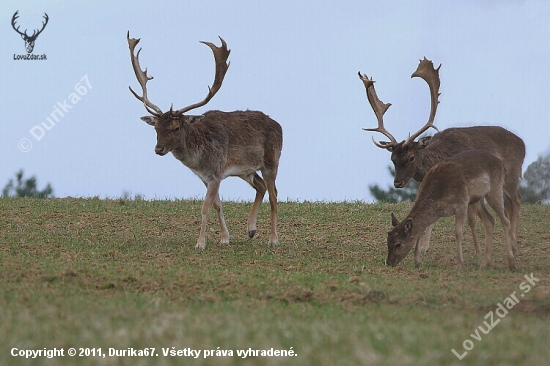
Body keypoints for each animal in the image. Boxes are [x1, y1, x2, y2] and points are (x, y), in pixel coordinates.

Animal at [127, 32, 282, 249]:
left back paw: (273, 240)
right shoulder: (205, 177)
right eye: (156, 128)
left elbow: (205, 208)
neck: (198, 160)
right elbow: (217, 205)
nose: (158, 149)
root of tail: (279, 125)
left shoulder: (216, 173)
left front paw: (200, 243)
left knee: (274, 195)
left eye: (176, 127)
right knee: (261, 187)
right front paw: (225, 238)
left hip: (272, 161)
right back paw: (251, 229)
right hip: (246, 170)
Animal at [388, 147, 516, 270]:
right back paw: (484, 263)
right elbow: (422, 229)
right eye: (388, 239)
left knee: (505, 221)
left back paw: (511, 263)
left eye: (398, 244)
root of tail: (501, 164)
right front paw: (418, 262)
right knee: (489, 220)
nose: (389, 262)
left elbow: (458, 232)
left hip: (495, 189)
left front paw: (459, 265)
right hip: (477, 200)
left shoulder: (462, 204)